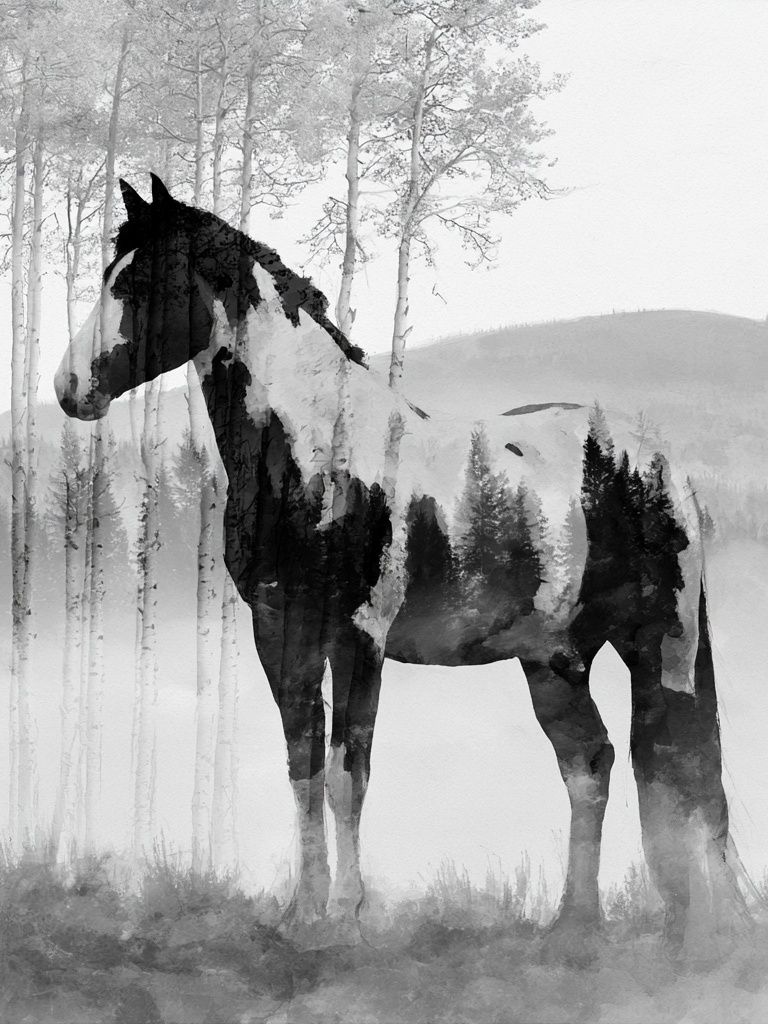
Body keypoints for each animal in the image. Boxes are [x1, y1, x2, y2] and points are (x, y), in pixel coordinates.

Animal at [55, 174, 747, 958]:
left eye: (143, 282)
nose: (70, 389)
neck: (320, 454)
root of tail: (661, 462)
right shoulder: (281, 634)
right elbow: (303, 768)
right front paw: (301, 915)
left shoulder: (360, 638)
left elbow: (348, 773)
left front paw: (346, 916)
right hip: (554, 660)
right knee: (590, 765)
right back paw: (574, 925)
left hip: (662, 643)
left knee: (684, 764)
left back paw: (702, 933)